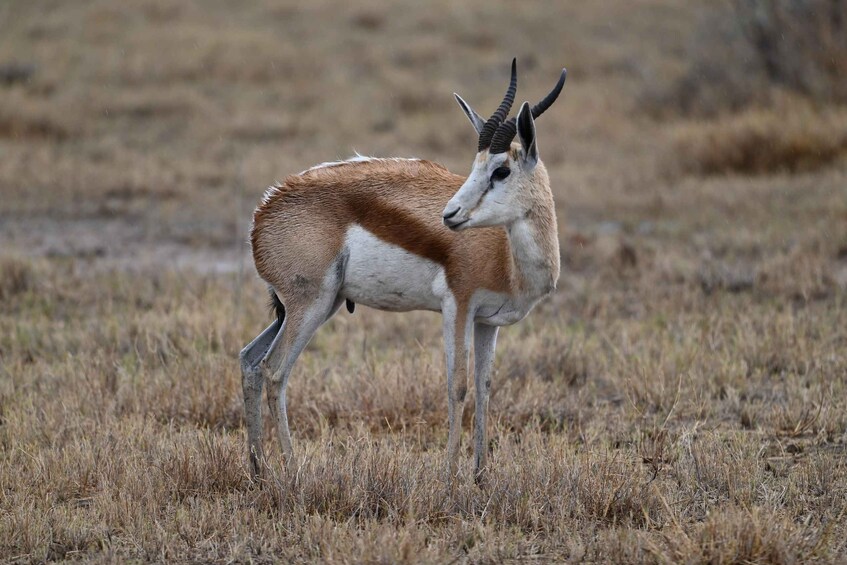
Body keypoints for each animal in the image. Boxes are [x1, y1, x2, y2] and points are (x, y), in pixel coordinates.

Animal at [240, 59, 567, 483]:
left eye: (501, 171)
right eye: (477, 167)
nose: (450, 215)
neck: (505, 255)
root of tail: (265, 209)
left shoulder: (487, 321)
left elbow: (484, 386)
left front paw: (481, 477)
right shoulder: (457, 307)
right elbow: (458, 386)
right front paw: (449, 478)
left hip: (321, 304)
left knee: (249, 360)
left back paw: (259, 471)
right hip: (310, 305)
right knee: (275, 371)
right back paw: (294, 473)